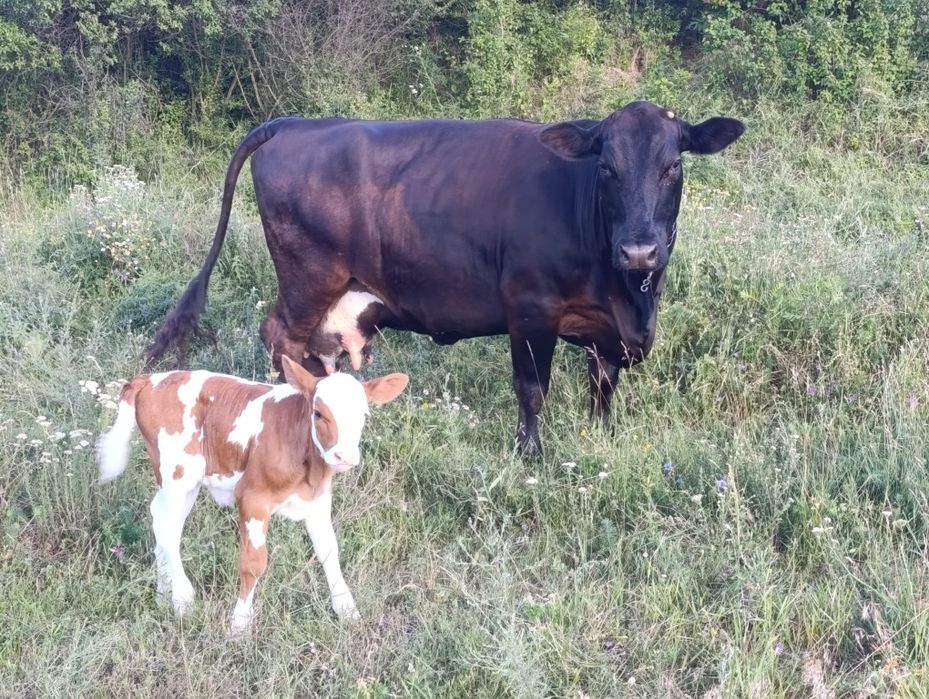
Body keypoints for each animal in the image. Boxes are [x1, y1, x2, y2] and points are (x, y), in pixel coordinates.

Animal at [96, 356, 409, 633]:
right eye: (319, 413)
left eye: (364, 415)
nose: (344, 456)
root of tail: (151, 378)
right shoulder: (252, 498)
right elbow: (253, 564)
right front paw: (240, 624)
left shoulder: (317, 502)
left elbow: (329, 552)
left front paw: (347, 610)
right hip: (177, 473)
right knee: (167, 528)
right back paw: (182, 599)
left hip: (184, 482)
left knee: (160, 519)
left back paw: (163, 594)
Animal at [146, 101, 744, 455]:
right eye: (606, 168)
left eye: (673, 166)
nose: (640, 250)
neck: (627, 295)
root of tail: (294, 123)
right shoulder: (530, 307)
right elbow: (532, 389)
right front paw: (531, 453)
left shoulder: (608, 329)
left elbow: (603, 384)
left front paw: (603, 436)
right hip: (308, 278)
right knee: (281, 338)